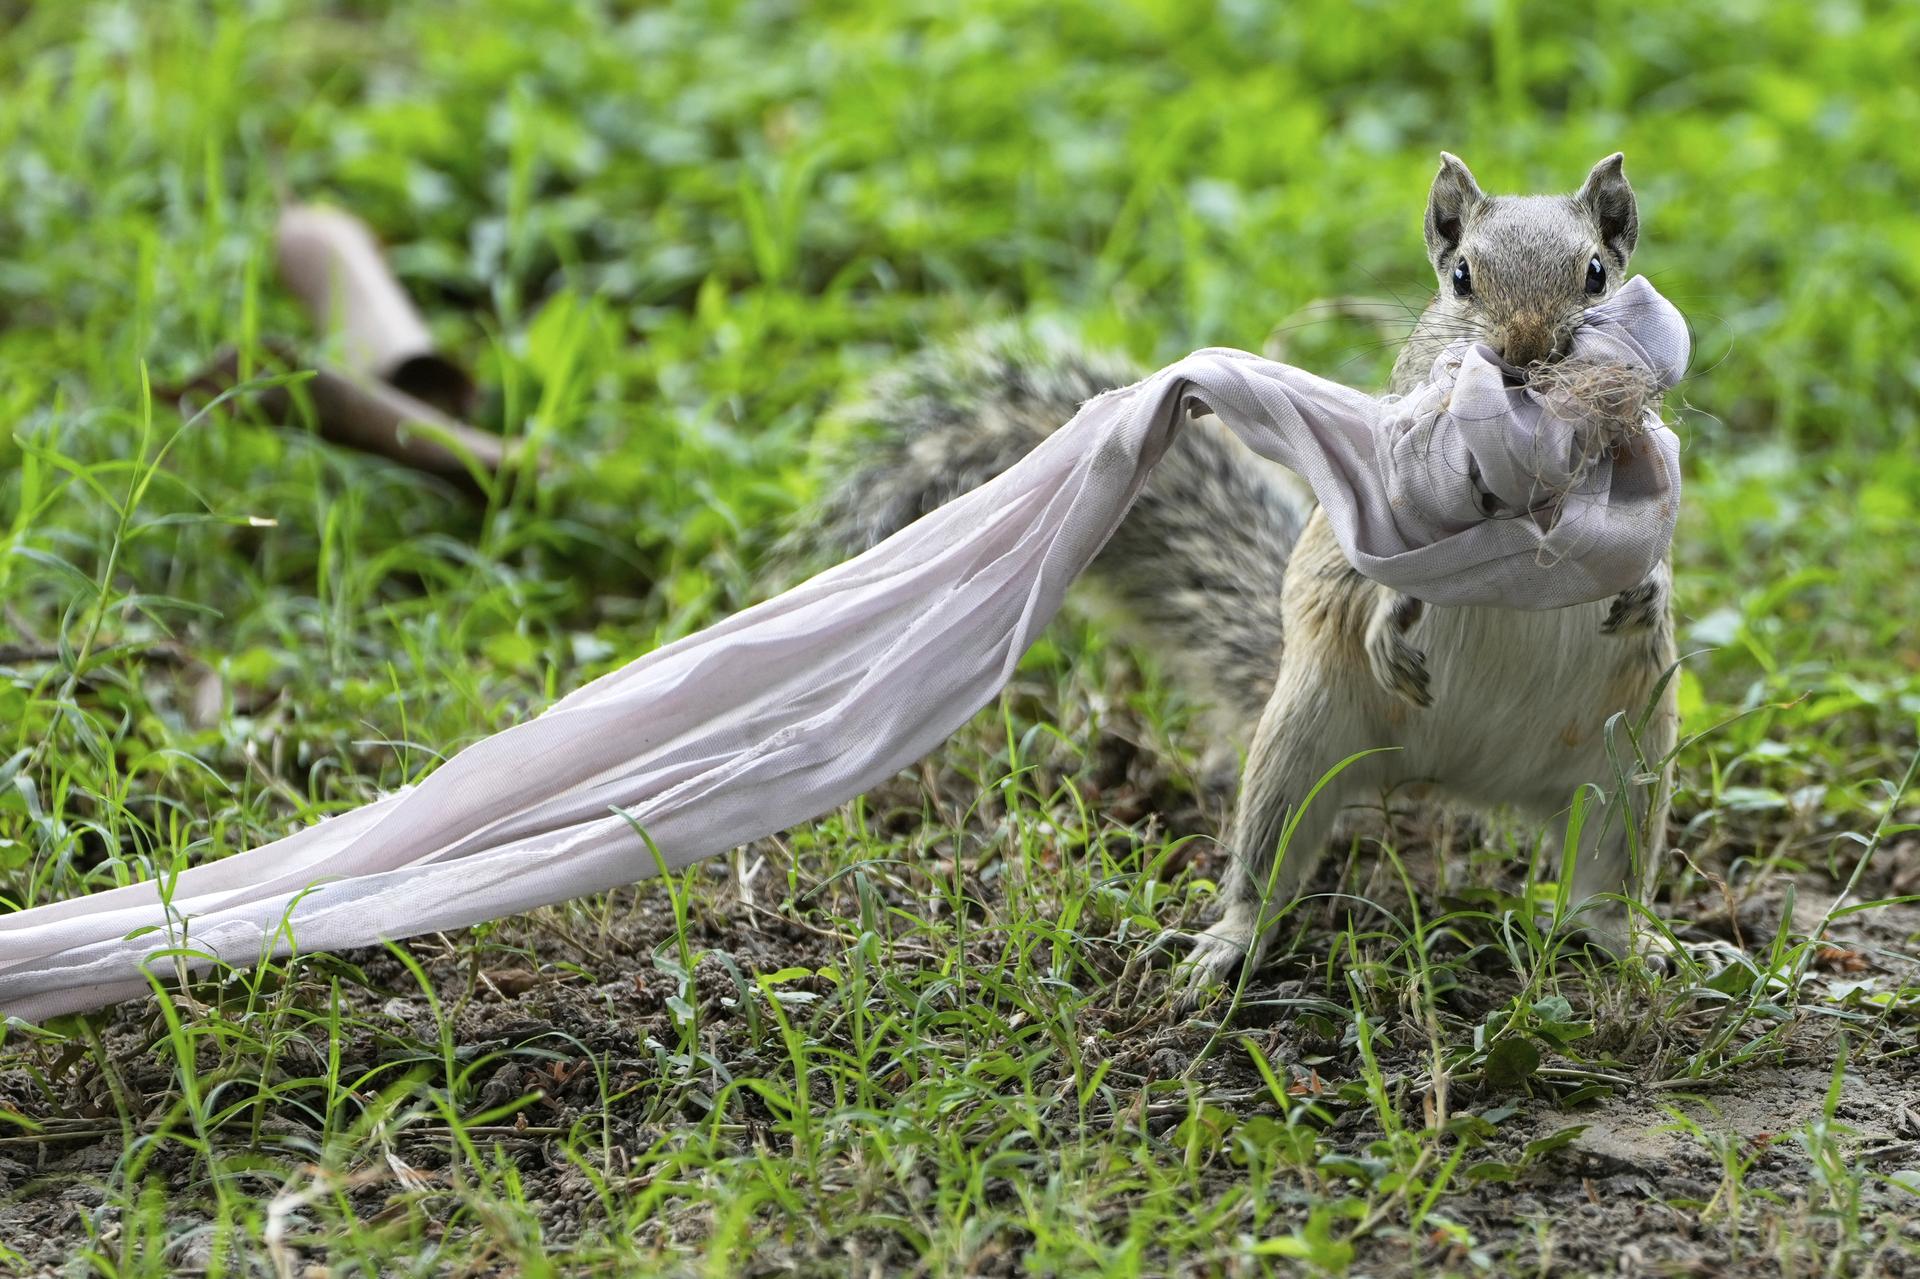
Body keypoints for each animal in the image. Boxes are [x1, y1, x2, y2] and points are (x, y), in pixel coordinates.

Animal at [815, 153, 1677, 1005]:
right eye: (1461, 276)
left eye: (1596, 272)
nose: (1528, 353)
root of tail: (1452, 778)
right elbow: (1374, 563)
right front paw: (1391, 619)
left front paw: (1648, 592)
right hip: (1297, 749)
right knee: (1267, 871)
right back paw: (1228, 942)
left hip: (1628, 768)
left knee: (1601, 885)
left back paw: (1636, 942)